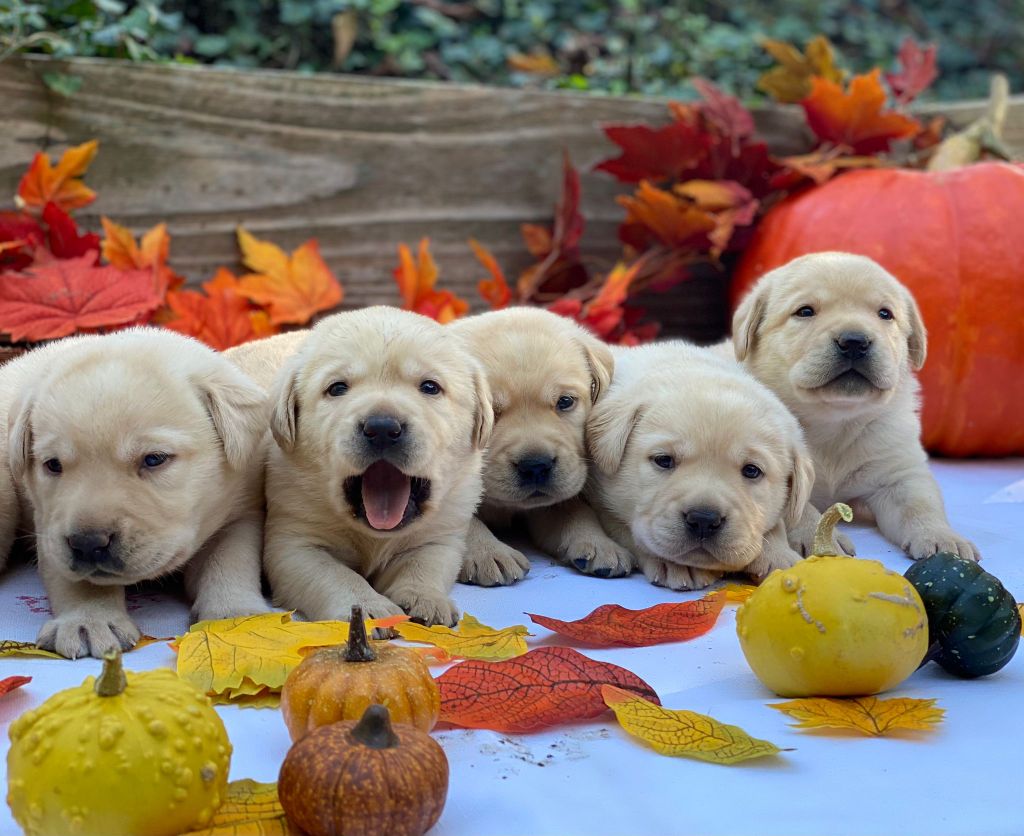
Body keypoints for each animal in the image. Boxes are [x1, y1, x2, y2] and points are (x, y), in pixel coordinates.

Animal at [237, 307, 493, 627]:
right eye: (337, 388)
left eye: (430, 387)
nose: (382, 428)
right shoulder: (294, 541)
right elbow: (335, 576)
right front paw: (369, 609)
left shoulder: (440, 534)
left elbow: (425, 564)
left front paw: (425, 599)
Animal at [585, 340, 815, 586]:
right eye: (664, 460)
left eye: (752, 471)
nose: (704, 520)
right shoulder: (601, 497)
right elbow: (624, 528)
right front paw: (678, 565)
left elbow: (777, 524)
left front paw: (779, 556)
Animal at [733, 247, 978, 561]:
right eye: (805, 311)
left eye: (885, 314)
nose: (854, 341)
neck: (834, 422)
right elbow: (800, 510)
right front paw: (822, 538)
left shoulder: (899, 471)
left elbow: (920, 504)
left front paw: (941, 536)